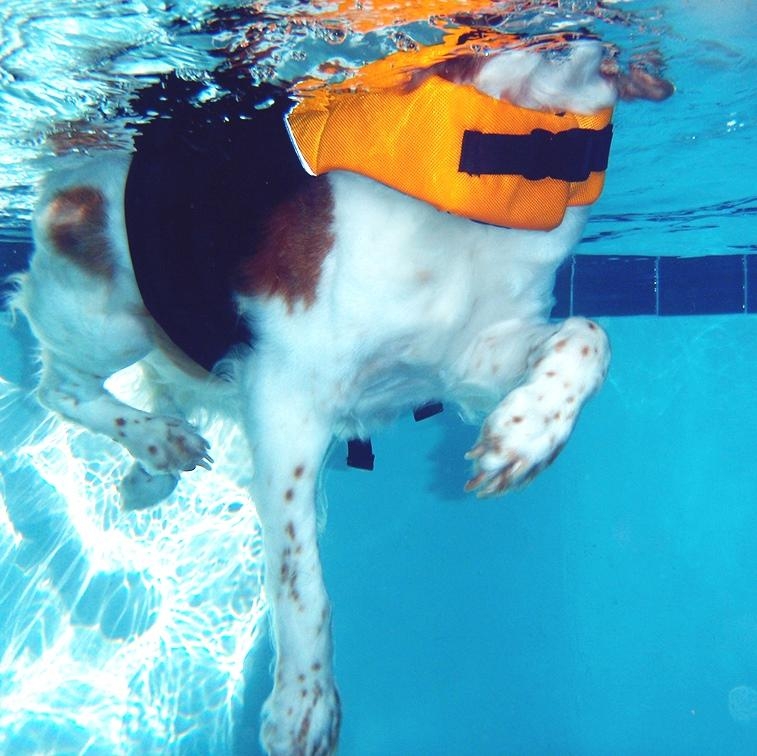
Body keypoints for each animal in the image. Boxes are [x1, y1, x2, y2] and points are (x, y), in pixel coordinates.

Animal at [13, 31, 670, 756]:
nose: (588, 35)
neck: (475, 218)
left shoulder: (472, 358)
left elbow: (588, 338)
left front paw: (525, 437)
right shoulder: (286, 399)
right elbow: (299, 577)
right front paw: (303, 701)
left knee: (160, 380)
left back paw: (155, 464)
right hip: (107, 316)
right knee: (58, 385)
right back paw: (154, 437)